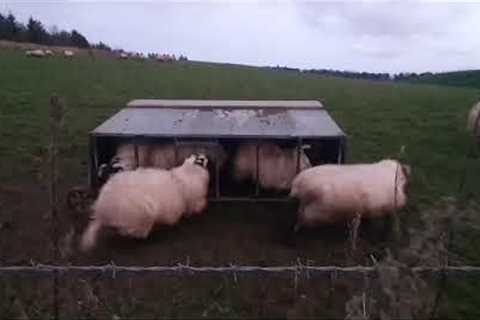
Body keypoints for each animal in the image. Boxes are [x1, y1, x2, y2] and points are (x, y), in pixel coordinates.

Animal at [80, 154, 210, 251]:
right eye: (200, 160)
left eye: (196, 157)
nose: (204, 155)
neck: (186, 175)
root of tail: (101, 211)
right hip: (141, 216)